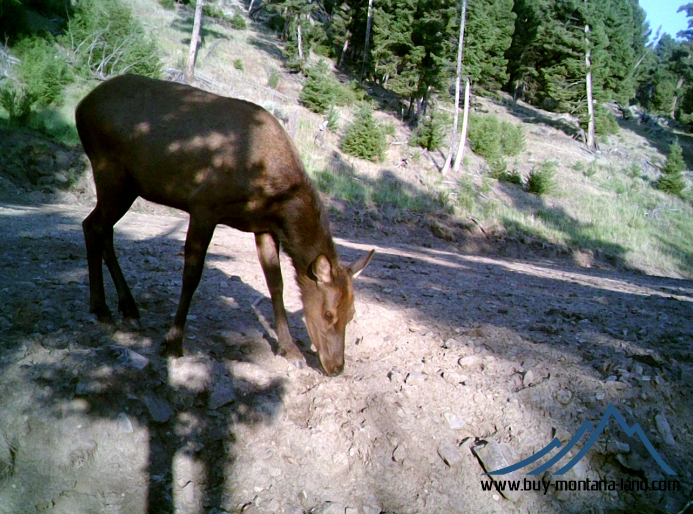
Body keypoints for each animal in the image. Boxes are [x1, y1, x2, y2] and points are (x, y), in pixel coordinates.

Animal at [75, 73, 374, 376]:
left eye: (352, 314)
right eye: (328, 313)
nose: (336, 366)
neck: (274, 196)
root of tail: (81, 105)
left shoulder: (263, 227)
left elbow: (276, 284)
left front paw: (290, 350)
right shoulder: (204, 206)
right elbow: (191, 275)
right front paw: (173, 342)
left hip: (129, 185)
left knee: (102, 229)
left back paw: (127, 308)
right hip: (110, 171)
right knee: (94, 226)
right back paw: (101, 308)